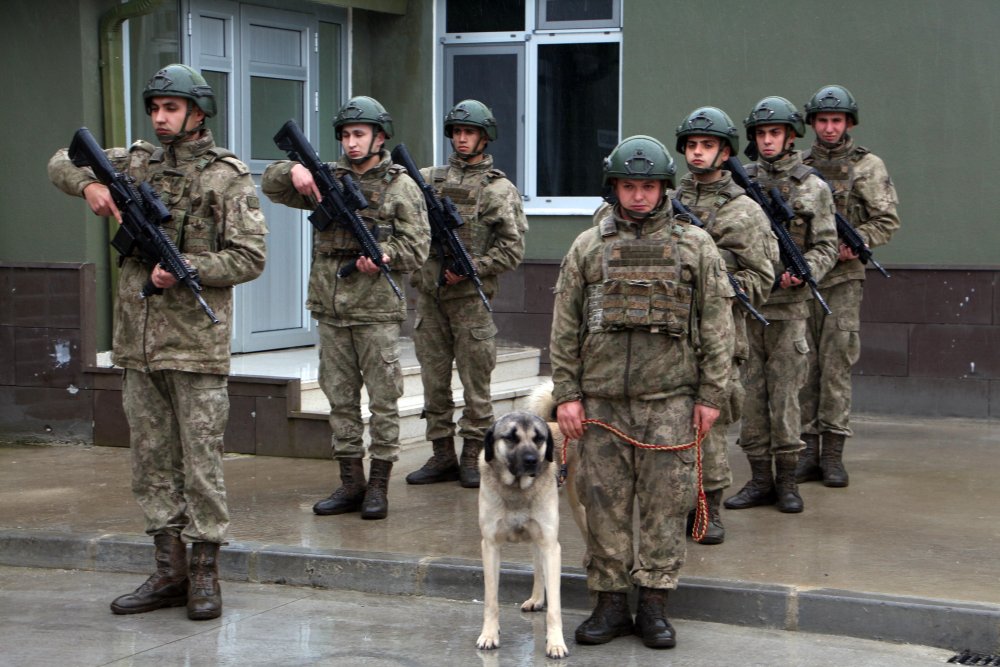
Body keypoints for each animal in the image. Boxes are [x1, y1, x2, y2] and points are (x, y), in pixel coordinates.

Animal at [474, 410, 568, 660]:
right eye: (510, 438)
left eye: (538, 439)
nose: (531, 460)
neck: (517, 490)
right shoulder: (490, 546)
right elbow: (491, 600)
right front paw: (489, 635)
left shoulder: (551, 546)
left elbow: (555, 607)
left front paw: (556, 642)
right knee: (537, 568)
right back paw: (536, 599)